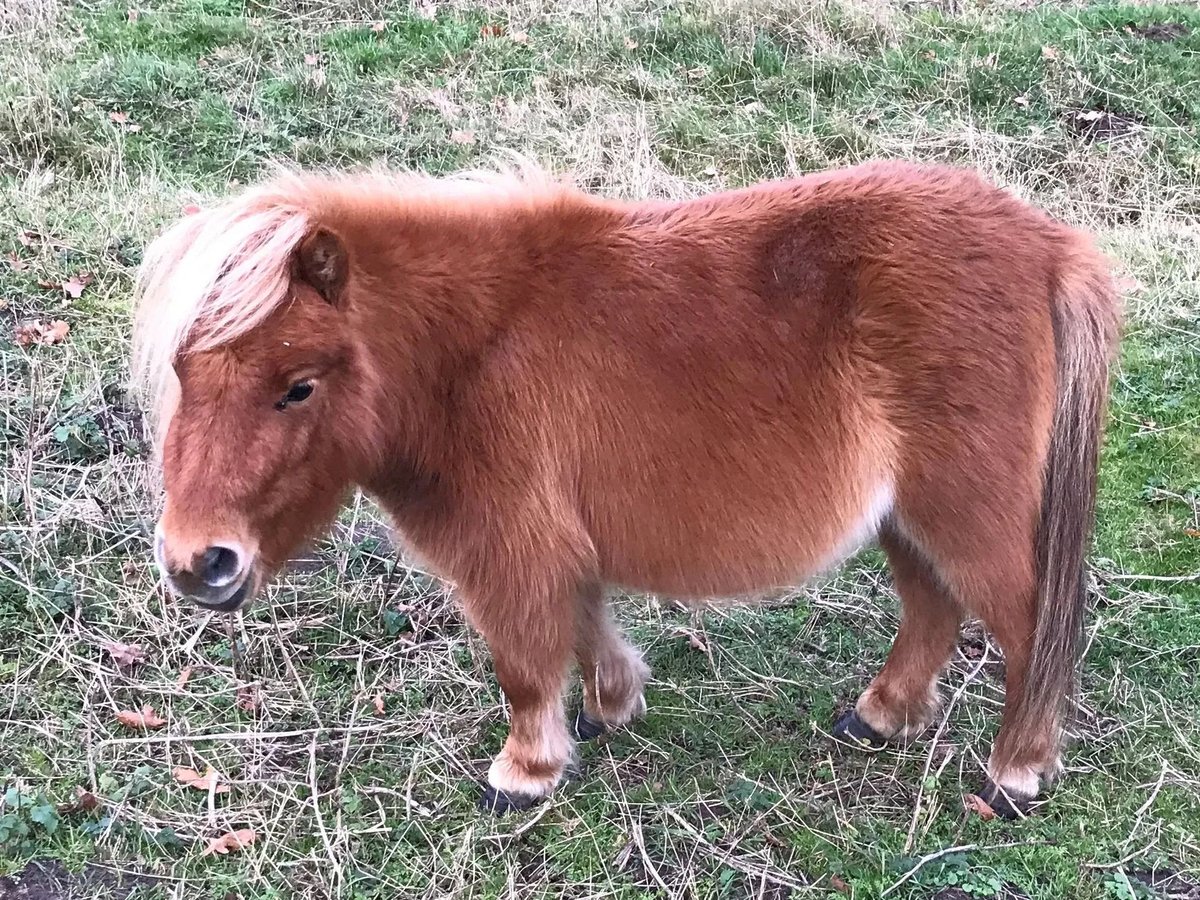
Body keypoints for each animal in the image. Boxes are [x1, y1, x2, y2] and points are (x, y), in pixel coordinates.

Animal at [136, 158, 1118, 820]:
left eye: (298, 386)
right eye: (183, 371)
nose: (198, 565)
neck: (473, 351)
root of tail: (1050, 248)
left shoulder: (511, 549)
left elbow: (525, 662)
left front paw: (524, 773)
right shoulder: (559, 542)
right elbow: (583, 623)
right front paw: (612, 706)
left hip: (964, 516)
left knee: (1027, 627)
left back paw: (1017, 770)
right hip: (908, 520)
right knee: (933, 610)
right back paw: (880, 719)